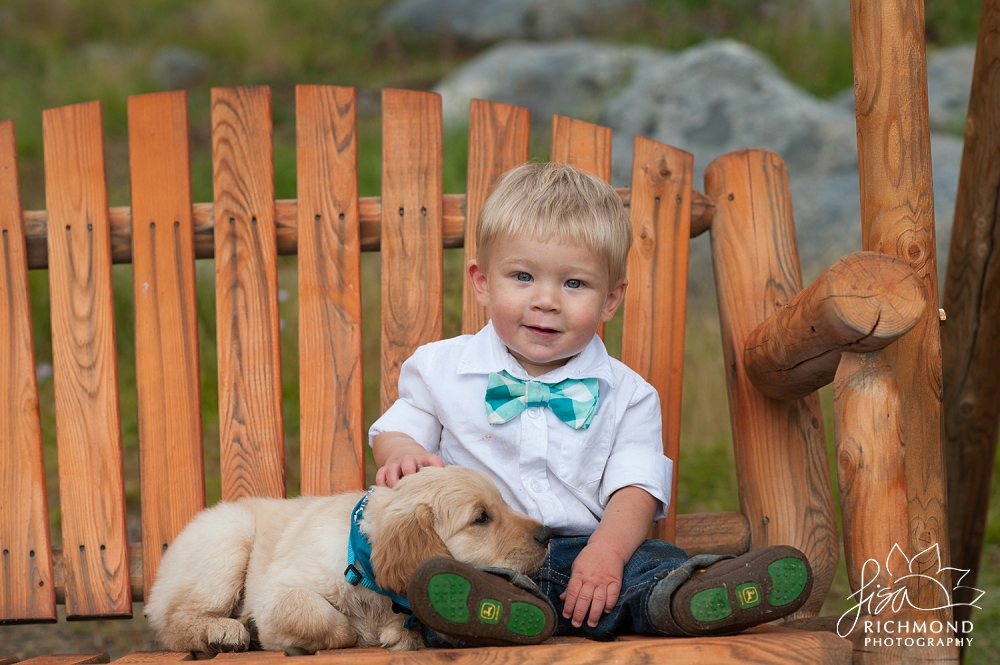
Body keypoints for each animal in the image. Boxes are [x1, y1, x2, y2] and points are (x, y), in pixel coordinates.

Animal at [144, 464, 552, 656]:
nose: (548, 534)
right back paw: (227, 630)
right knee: (175, 620)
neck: (362, 567)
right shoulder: (279, 593)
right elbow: (331, 623)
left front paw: (400, 634)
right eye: (481, 517)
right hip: (229, 535)